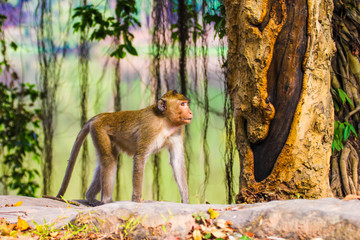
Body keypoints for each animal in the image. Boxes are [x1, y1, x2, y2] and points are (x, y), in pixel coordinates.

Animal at [57, 89, 191, 205]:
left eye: (186, 103)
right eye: (182, 104)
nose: (190, 112)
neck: (165, 120)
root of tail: (101, 116)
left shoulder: (177, 131)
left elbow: (177, 161)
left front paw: (186, 201)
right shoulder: (150, 128)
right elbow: (140, 158)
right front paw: (136, 199)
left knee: (106, 162)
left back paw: (91, 197)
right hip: (99, 131)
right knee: (109, 161)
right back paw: (106, 201)